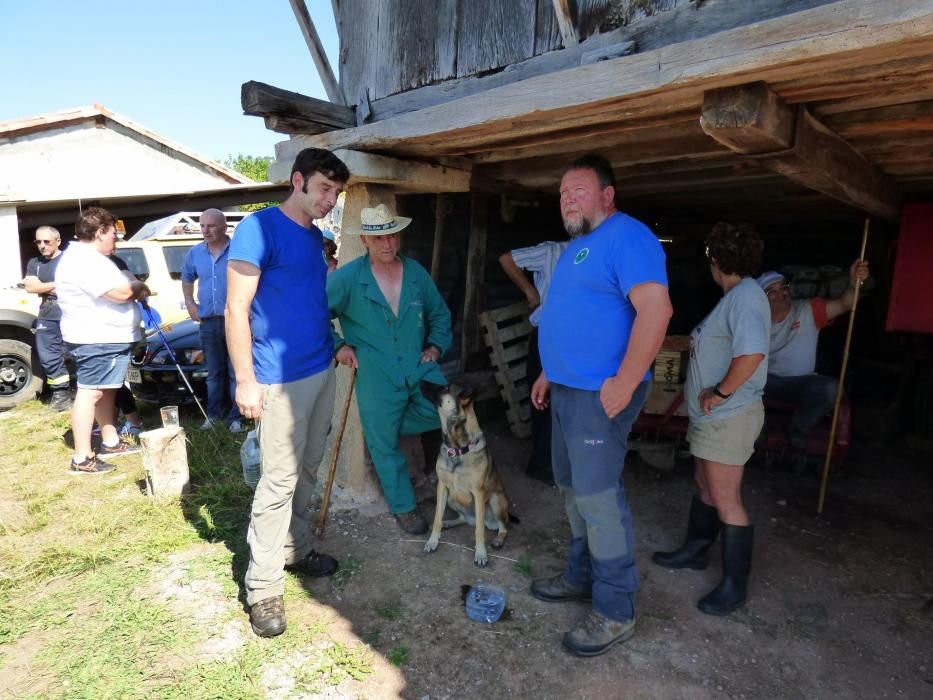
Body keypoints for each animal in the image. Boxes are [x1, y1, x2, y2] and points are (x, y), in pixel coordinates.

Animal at [420, 380, 510, 568]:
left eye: (445, 388)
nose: (420, 381)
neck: (458, 448)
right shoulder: (442, 487)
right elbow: (436, 518)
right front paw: (433, 541)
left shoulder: (479, 493)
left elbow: (479, 531)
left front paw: (481, 553)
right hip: (452, 498)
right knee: (465, 519)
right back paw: (449, 522)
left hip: (495, 499)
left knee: (502, 527)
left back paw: (498, 539)